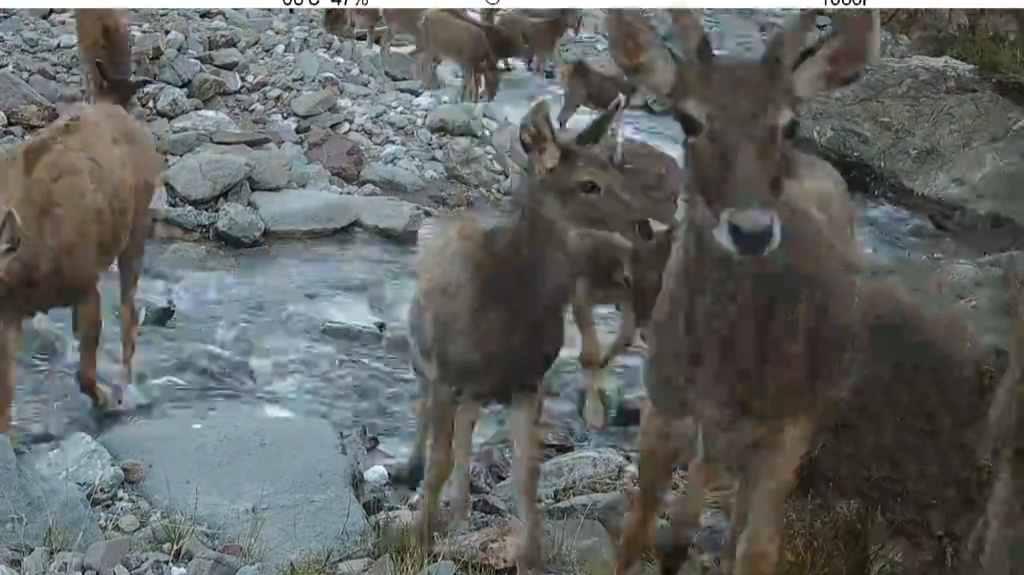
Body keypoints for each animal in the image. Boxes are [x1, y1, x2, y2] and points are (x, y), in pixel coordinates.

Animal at [0, 101, 161, 438]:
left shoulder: (86, 287)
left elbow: (85, 374)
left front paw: (109, 401)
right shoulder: (6, 311)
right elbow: (4, 393)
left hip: (136, 228)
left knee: (129, 318)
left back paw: (129, 389)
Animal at [405, 98, 660, 573]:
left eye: (618, 171)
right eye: (588, 185)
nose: (645, 226)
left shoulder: (528, 382)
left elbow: (527, 473)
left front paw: (531, 557)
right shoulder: (448, 374)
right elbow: (439, 463)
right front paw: (419, 542)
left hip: (478, 389)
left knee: (466, 429)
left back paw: (462, 510)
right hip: (424, 360)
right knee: (425, 417)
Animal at [612, 10, 886, 575]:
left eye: (789, 123)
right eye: (689, 120)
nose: (752, 231)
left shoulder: (789, 424)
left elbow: (758, 549)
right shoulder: (665, 398)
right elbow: (636, 529)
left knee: (737, 518)